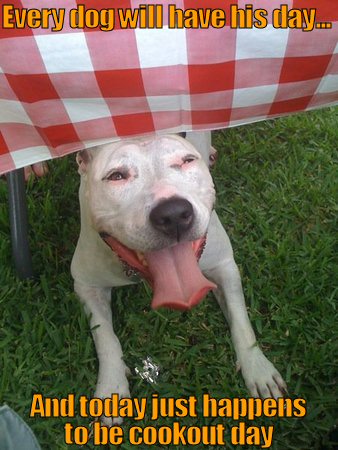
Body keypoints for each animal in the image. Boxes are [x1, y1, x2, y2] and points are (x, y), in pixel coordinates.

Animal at [70, 132, 286, 424]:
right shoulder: (86, 284)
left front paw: (258, 368)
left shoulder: (224, 265)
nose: (172, 213)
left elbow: (241, 321)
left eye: (186, 161)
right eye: (116, 176)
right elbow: (105, 336)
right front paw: (112, 386)